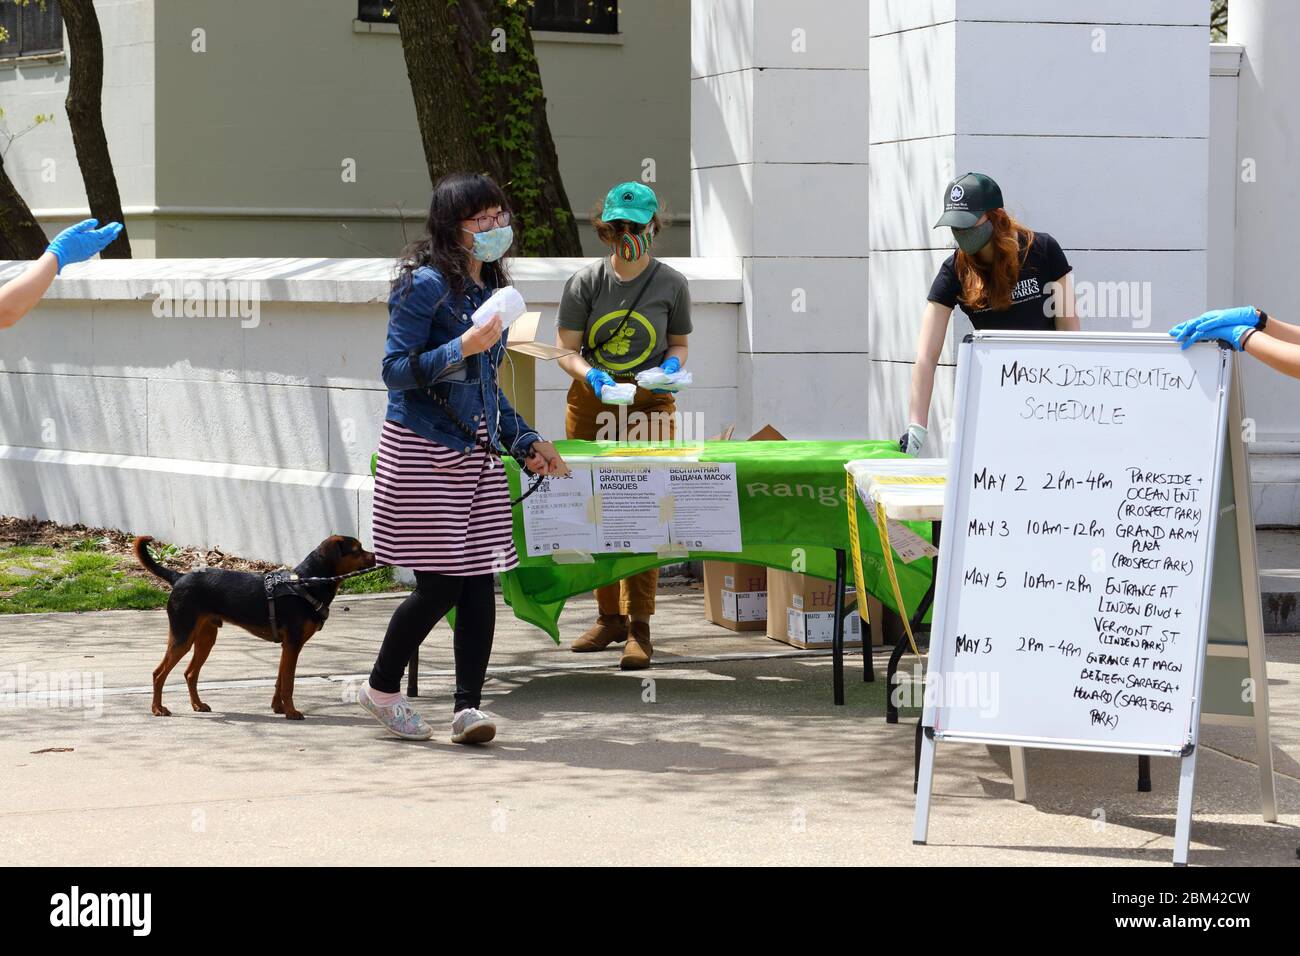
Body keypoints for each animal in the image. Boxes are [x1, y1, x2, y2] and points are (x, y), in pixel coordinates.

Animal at [133, 535, 377, 723]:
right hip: (182, 636)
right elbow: (288, 683)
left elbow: (280, 680)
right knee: (158, 673)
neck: (306, 583)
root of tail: (179, 577)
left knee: (190, 673)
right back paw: (158, 709)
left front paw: (278, 708)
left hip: (206, 638)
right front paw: (291, 712)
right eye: (357, 549)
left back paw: (198, 705)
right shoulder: (293, 644)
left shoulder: (288, 646)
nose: (375, 556)